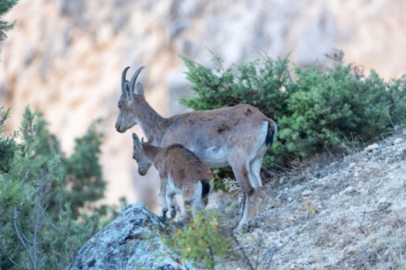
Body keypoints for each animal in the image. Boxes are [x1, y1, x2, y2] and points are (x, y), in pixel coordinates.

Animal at [116, 65, 278, 230]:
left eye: (119, 105)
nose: (118, 127)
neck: (161, 128)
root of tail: (266, 121)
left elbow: (167, 189)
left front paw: (169, 212)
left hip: (238, 159)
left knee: (249, 189)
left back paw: (241, 225)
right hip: (255, 160)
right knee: (258, 186)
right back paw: (252, 222)